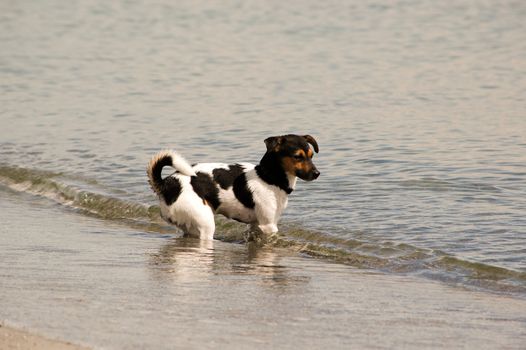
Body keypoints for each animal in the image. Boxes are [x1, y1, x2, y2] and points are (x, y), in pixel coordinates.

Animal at [150, 134, 322, 241]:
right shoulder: (269, 225)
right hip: (205, 222)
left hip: (190, 225)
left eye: (311, 156)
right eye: (297, 157)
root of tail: (167, 183)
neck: (268, 177)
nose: (317, 173)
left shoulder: (256, 225)